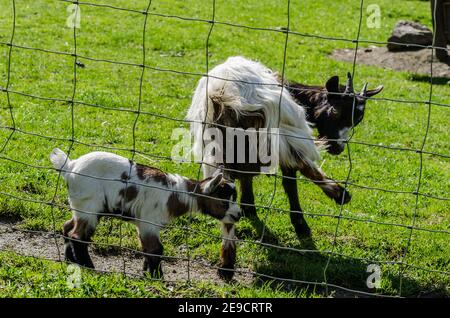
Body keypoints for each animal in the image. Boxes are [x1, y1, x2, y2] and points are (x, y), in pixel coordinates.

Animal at [50, 148, 241, 280]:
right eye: (224, 202)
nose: (238, 215)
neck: (175, 194)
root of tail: (71, 166)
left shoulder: (145, 225)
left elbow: (147, 250)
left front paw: (147, 273)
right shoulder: (149, 222)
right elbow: (156, 250)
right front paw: (158, 278)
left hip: (81, 207)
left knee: (67, 228)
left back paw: (70, 261)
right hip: (89, 206)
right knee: (78, 236)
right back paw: (89, 267)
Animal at [186, 56, 384, 237]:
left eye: (357, 120)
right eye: (336, 110)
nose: (338, 148)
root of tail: (222, 93)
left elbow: (246, 176)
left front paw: (248, 206)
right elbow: (290, 180)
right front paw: (300, 224)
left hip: (219, 141)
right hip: (278, 131)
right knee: (299, 163)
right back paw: (338, 195)